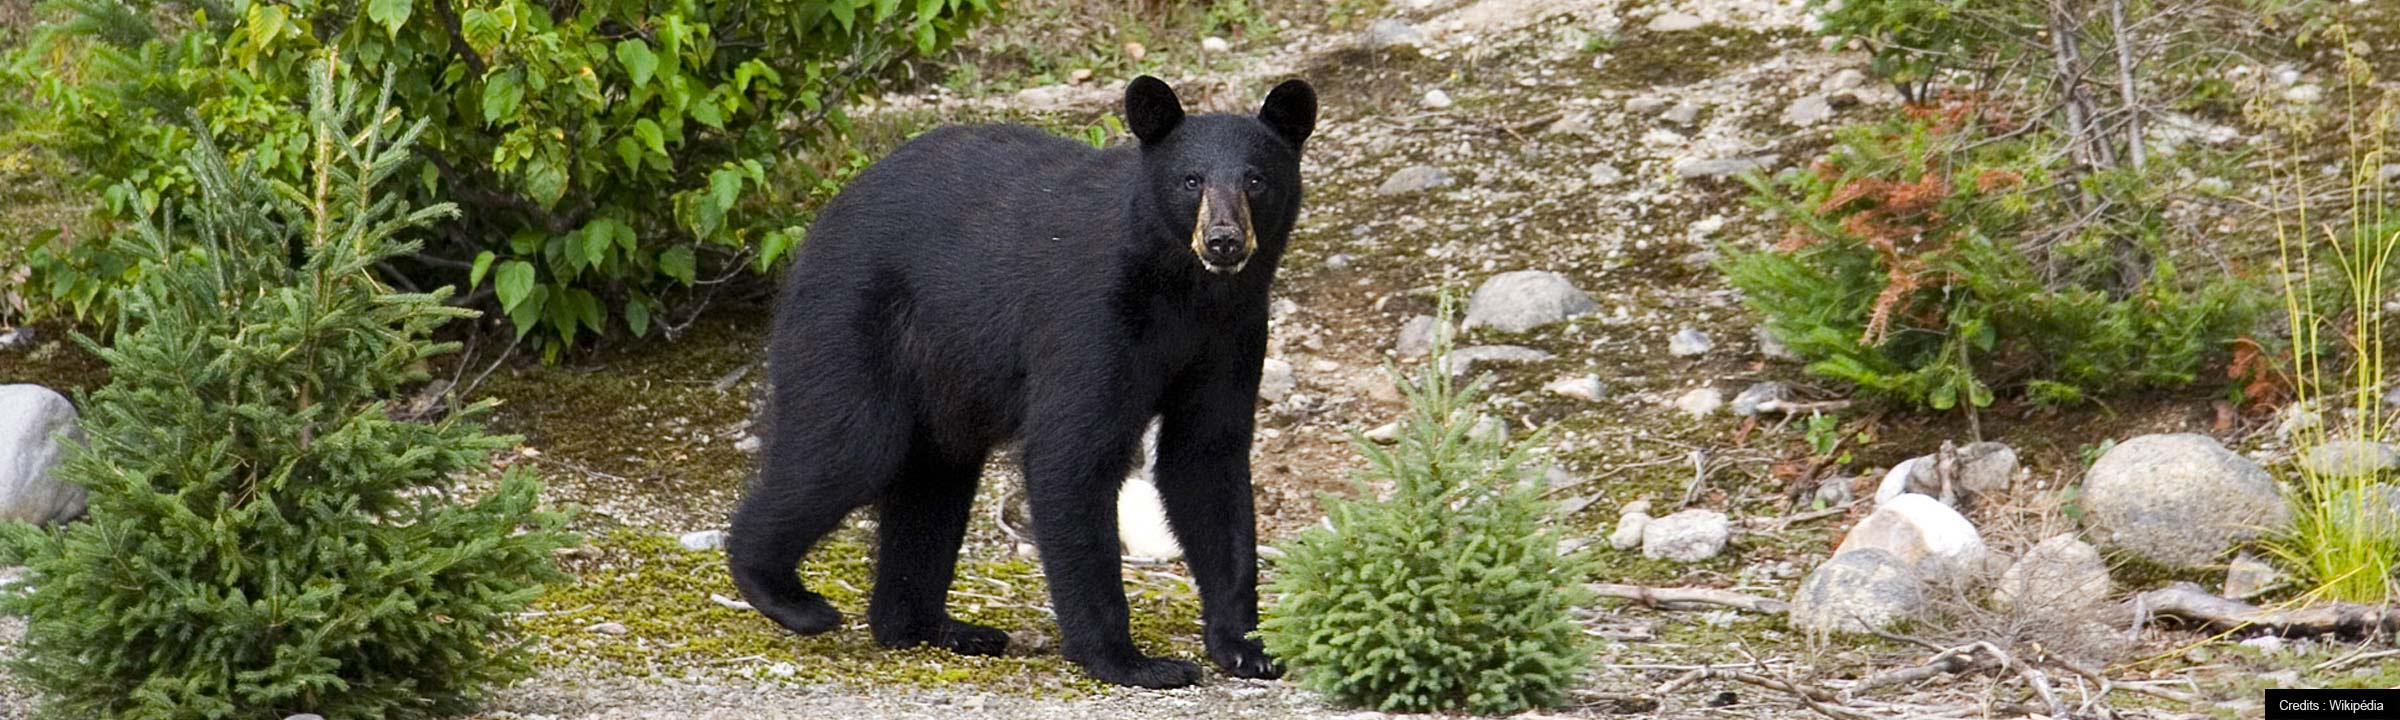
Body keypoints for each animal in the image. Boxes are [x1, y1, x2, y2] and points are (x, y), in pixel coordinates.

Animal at [729, 75, 1324, 691]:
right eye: (1191, 180)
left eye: (1255, 179)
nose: (1223, 240)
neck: (1184, 289)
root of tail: (820, 223)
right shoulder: (1091, 317)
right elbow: (1073, 453)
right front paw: (1129, 660)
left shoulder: (1233, 332)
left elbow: (1206, 459)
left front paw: (1246, 647)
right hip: (854, 321)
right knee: (849, 447)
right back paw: (785, 594)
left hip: (944, 382)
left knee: (933, 481)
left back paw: (933, 627)